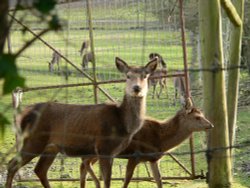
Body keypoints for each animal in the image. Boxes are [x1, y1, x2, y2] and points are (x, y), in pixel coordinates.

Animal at [5, 57, 158, 188]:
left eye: (145, 76)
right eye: (127, 76)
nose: (136, 88)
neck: (123, 124)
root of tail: (22, 115)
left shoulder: (111, 152)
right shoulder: (104, 148)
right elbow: (106, 181)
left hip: (51, 147)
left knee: (40, 169)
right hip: (33, 140)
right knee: (12, 164)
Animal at [79, 98, 213, 188]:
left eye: (202, 114)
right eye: (197, 117)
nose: (211, 125)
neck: (160, 141)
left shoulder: (153, 159)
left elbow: (159, 180)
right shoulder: (134, 156)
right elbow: (127, 181)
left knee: (83, 165)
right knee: (85, 162)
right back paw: (97, 183)